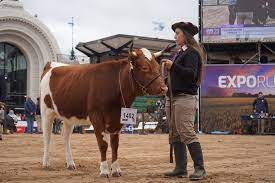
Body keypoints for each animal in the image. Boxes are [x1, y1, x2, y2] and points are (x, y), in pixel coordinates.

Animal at [40, 46, 168, 177]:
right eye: (145, 68)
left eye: (158, 67)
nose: (164, 88)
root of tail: (52, 65)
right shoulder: (96, 117)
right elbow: (103, 144)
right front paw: (104, 170)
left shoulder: (117, 119)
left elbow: (115, 145)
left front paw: (116, 170)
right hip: (46, 111)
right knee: (47, 136)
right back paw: (46, 163)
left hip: (68, 116)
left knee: (66, 138)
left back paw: (70, 163)